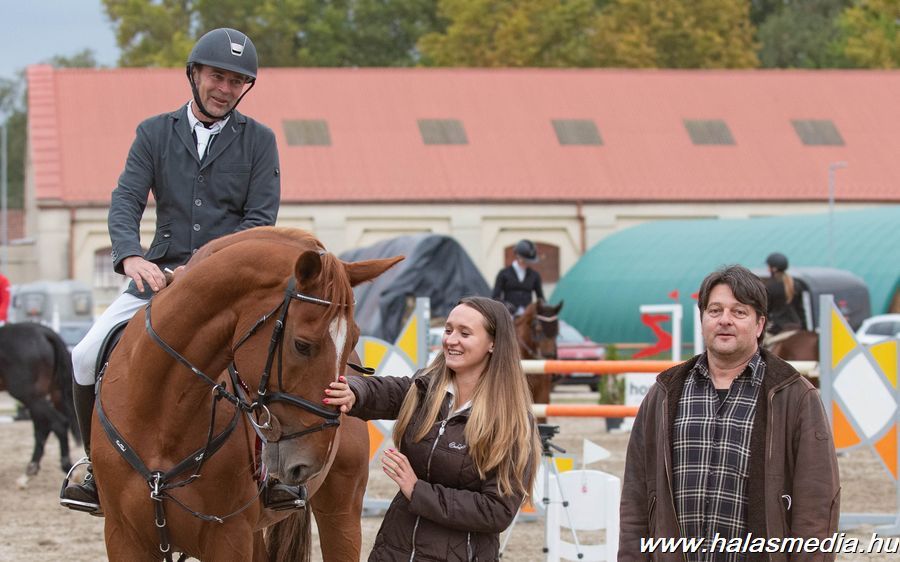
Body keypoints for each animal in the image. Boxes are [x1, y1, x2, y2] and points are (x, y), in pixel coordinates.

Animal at [0, 322, 80, 480]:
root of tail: (43, 332)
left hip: (30, 396)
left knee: (57, 423)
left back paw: (66, 467)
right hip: (52, 394)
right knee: (44, 428)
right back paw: (31, 469)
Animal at [91, 228, 400, 560]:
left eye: (354, 338)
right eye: (302, 345)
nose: (311, 462)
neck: (161, 415)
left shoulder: (228, 536)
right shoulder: (123, 536)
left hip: (341, 509)